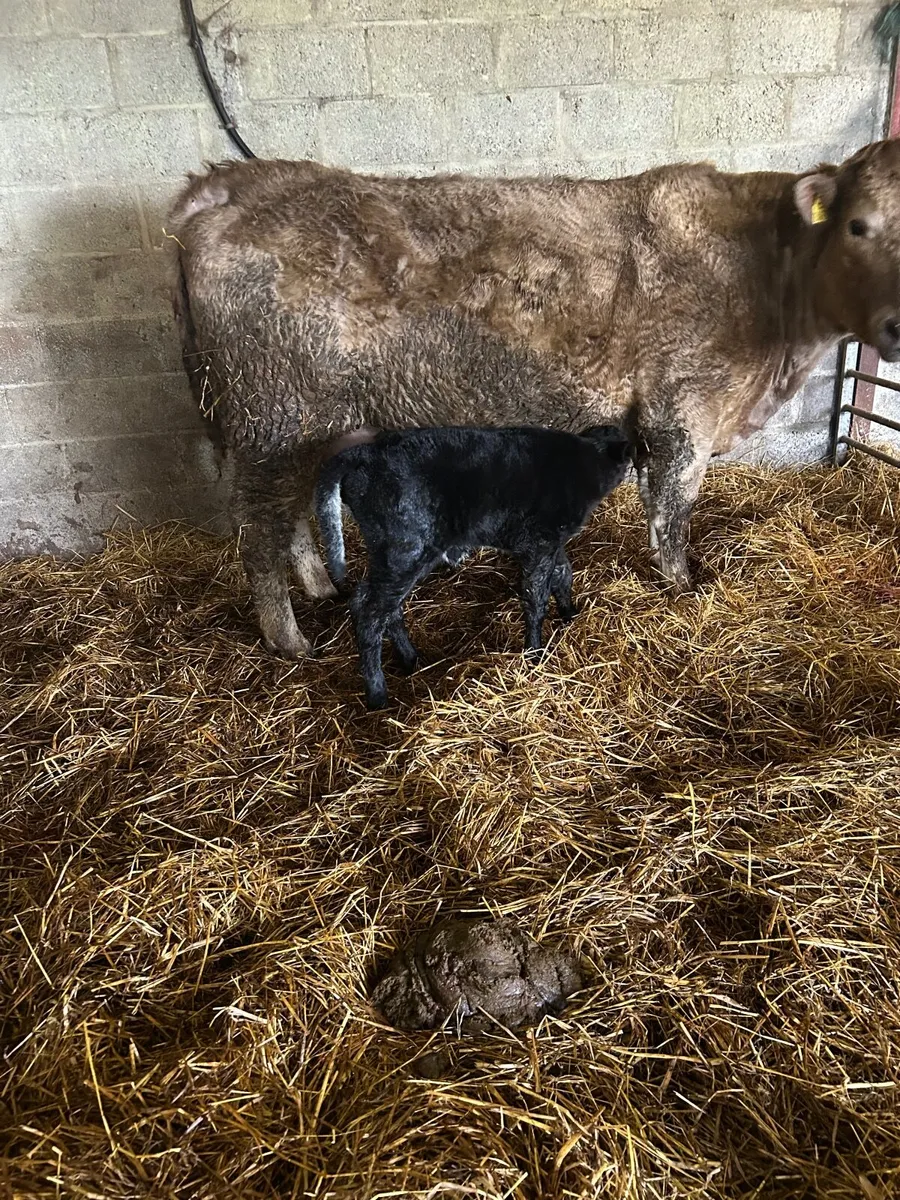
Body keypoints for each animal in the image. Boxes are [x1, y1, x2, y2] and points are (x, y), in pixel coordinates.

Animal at [167, 140, 900, 660]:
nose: (896, 324)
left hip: (298, 428)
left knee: (289, 516)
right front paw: (681, 585)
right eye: (857, 226)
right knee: (258, 531)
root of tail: (232, 182)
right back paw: (291, 641)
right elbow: (673, 509)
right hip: (270, 418)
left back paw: (320, 588)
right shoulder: (682, 408)